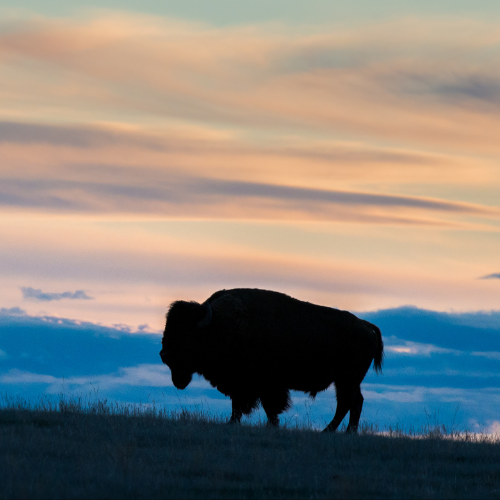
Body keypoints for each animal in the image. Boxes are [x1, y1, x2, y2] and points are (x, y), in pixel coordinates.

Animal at [160, 288, 382, 432]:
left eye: (185, 333)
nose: (164, 354)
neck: (217, 325)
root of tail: (365, 325)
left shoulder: (265, 385)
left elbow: (268, 406)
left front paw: (271, 425)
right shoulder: (241, 385)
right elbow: (238, 406)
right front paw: (233, 423)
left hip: (346, 379)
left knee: (345, 403)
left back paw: (328, 431)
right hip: (349, 381)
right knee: (355, 402)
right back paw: (348, 432)